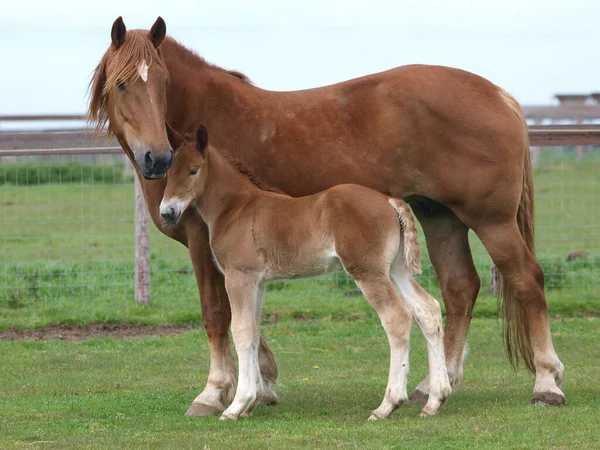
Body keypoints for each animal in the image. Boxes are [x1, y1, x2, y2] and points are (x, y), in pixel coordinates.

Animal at [159, 125, 450, 420]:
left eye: (193, 170)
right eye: (169, 172)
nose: (167, 212)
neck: (237, 208)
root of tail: (389, 201)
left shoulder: (239, 276)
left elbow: (241, 331)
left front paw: (237, 405)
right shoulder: (258, 282)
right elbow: (254, 331)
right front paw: (252, 402)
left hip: (368, 271)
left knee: (397, 316)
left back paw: (388, 405)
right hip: (395, 269)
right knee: (427, 309)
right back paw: (435, 400)